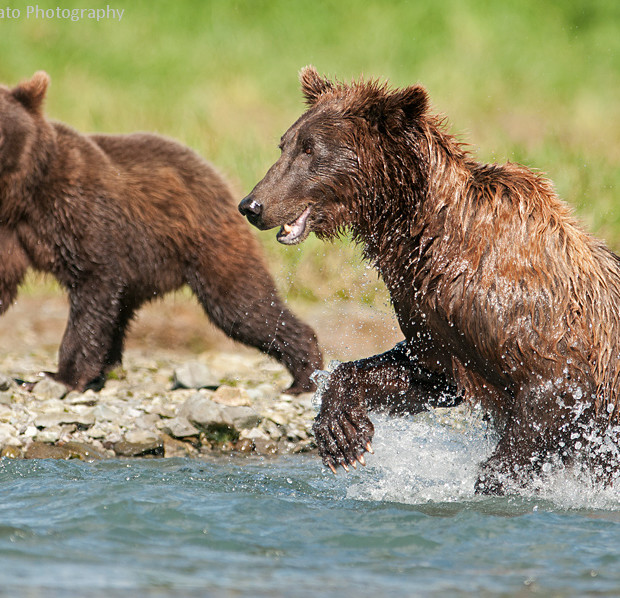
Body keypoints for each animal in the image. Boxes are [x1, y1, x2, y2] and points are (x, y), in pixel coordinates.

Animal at [2, 72, 324, 396]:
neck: (22, 194)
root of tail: (214, 172)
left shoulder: (80, 214)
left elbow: (93, 284)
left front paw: (59, 376)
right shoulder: (12, 230)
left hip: (203, 242)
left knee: (243, 307)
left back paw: (304, 375)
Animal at [239, 67, 620, 496]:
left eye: (311, 149)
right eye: (284, 144)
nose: (252, 205)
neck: (431, 236)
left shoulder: (543, 326)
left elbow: (551, 396)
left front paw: (492, 483)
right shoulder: (430, 310)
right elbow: (427, 370)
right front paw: (342, 434)